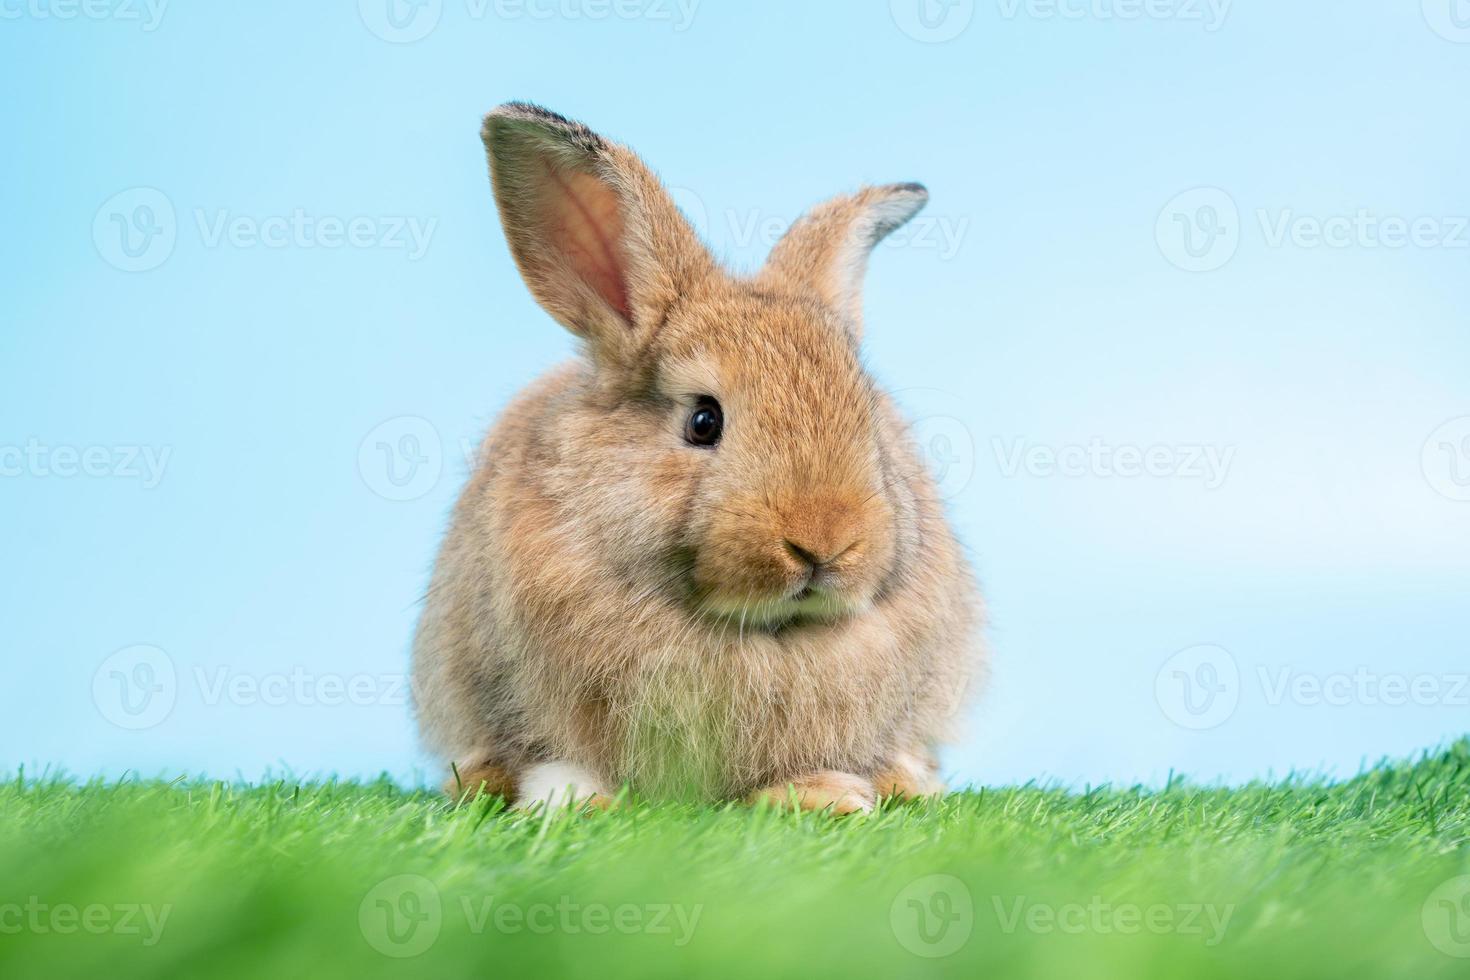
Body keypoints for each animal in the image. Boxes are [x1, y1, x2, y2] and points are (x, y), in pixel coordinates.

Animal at [411, 103, 987, 816]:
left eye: (869, 418)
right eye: (703, 421)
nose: (826, 542)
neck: (761, 632)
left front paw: (830, 795)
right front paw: (578, 799)